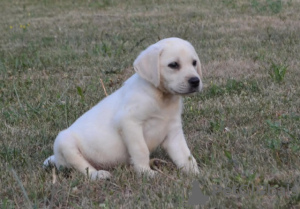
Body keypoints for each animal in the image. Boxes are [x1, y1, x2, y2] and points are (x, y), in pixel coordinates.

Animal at [43, 37, 203, 180]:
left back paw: (156, 162)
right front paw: (146, 173)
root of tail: (56, 159)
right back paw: (98, 174)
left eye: (194, 63)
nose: (195, 81)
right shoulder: (129, 123)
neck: (161, 98)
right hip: (65, 142)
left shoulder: (173, 131)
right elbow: (141, 150)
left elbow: (185, 155)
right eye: (173, 65)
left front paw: (196, 174)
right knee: (84, 167)